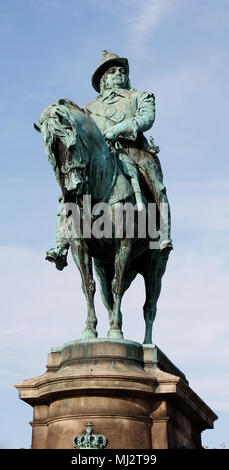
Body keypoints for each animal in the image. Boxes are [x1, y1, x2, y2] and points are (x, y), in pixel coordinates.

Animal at [36, 97, 170, 344]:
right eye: (51, 157)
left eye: (70, 146)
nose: (71, 189)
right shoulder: (80, 247)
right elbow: (88, 286)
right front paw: (90, 330)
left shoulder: (124, 244)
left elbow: (118, 285)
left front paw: (115, 332)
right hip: (103, 266)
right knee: (109, 299)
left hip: (155, 266)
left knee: (149, 306)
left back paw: (147, 344)